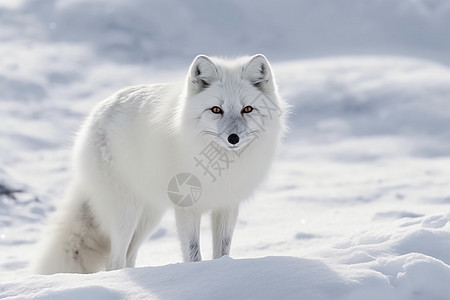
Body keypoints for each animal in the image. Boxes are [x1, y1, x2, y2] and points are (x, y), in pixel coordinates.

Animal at [37, 54, 286, 274]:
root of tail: (94, 116)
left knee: (129, 257)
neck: (223, 166)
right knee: (115, 261)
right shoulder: (187, 207)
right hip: (127, 213)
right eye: (216, 109)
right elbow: (193, 253)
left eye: (247, 109)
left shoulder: (227, 204)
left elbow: (222, 251)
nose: (233, 138)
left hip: (149, 217)